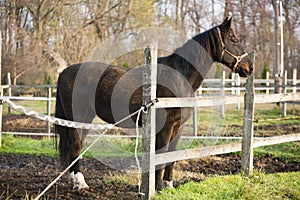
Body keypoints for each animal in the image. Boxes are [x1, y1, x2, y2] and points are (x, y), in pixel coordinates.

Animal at [55, 15, 252, 191]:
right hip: (79, 117)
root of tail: (65, 71)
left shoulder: (178, 126)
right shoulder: (166, 126)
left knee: (75, 147)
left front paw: (168, 186)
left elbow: (171, 156)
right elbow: (161, 155)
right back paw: (80, 183)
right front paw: (157, 187)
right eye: (233, 39)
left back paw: (73, 180)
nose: (249, 67)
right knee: (76, 145)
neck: (179, 77)